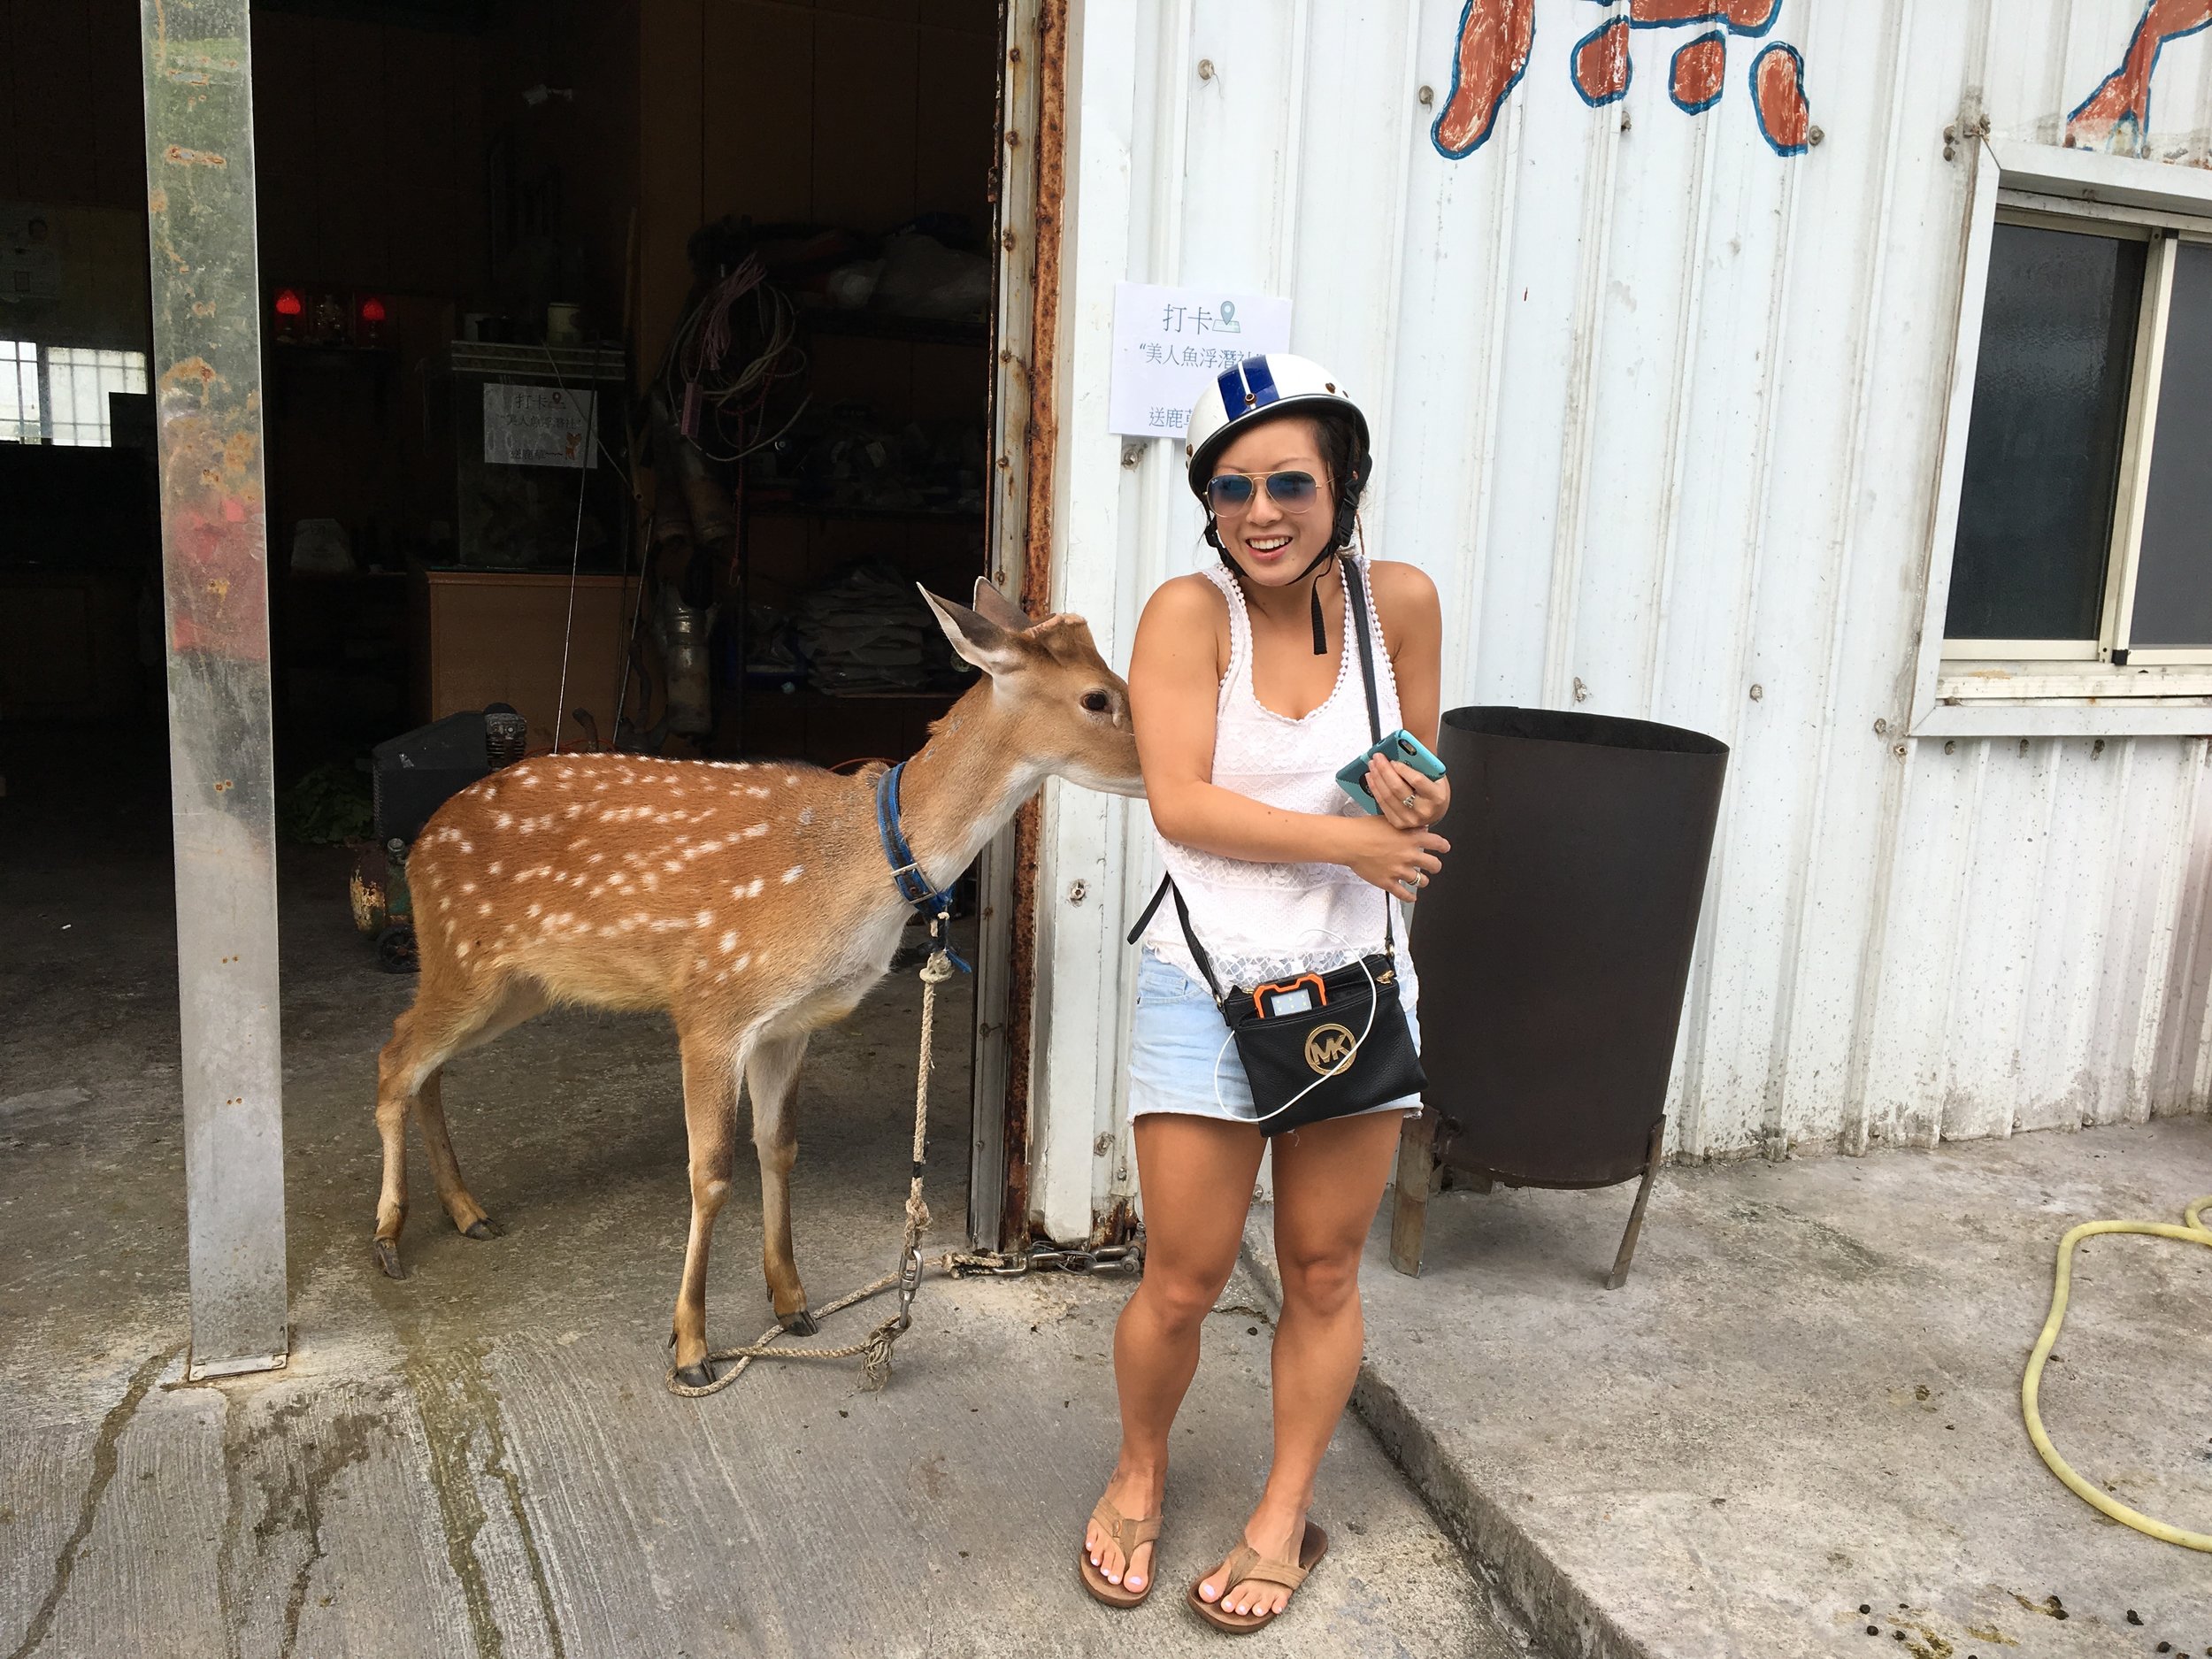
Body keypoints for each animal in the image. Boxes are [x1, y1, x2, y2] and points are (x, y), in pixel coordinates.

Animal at [371, 583, 1142, 1385]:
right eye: (1097, 696)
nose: (1160, 765)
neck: (859, 865)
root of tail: (418, 846)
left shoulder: (788, 1023)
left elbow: (779, 1148)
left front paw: (793, 1303)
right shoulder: (713, 1003)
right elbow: (711, 1173)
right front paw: (690, 1346)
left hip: (512, 982)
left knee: (424, 1064)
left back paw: (467, 1210)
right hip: (463, 955)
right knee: (395, 1057)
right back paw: (391, 1234)